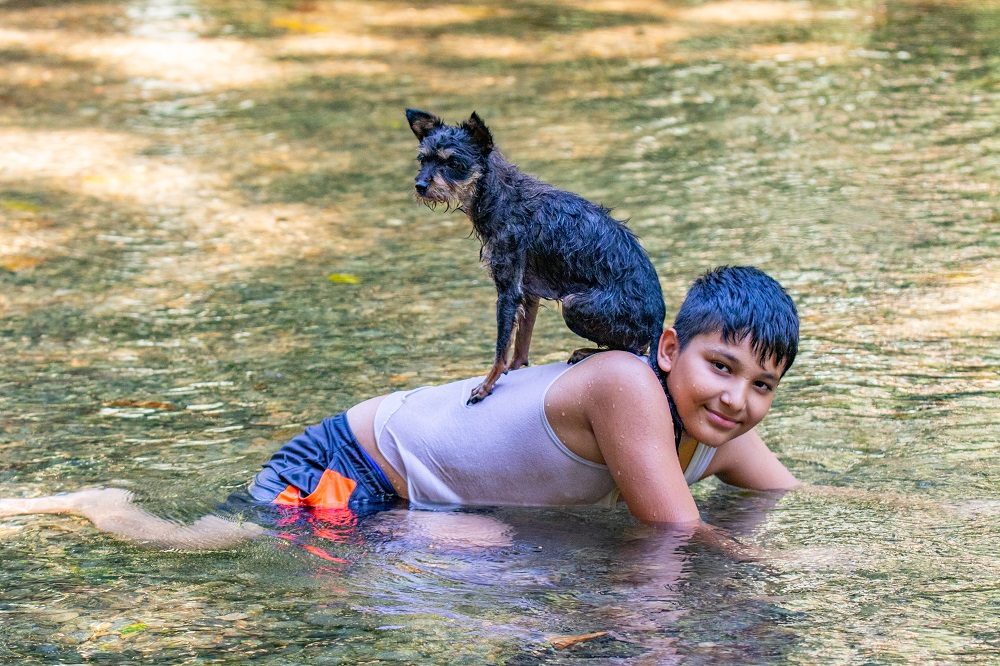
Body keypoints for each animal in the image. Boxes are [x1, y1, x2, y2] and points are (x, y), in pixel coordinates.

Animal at [406, 107, 664, 404]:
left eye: (452, 162)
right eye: (423, 159)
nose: (420, 184)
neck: (500, 196)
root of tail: (658, 323)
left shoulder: (508, 291)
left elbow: (500, 349)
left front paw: (486, 385)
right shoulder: (528, 292)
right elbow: (519, 344)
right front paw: (515, 368)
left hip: (574, 304)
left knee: (635, 349)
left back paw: (587, 352)